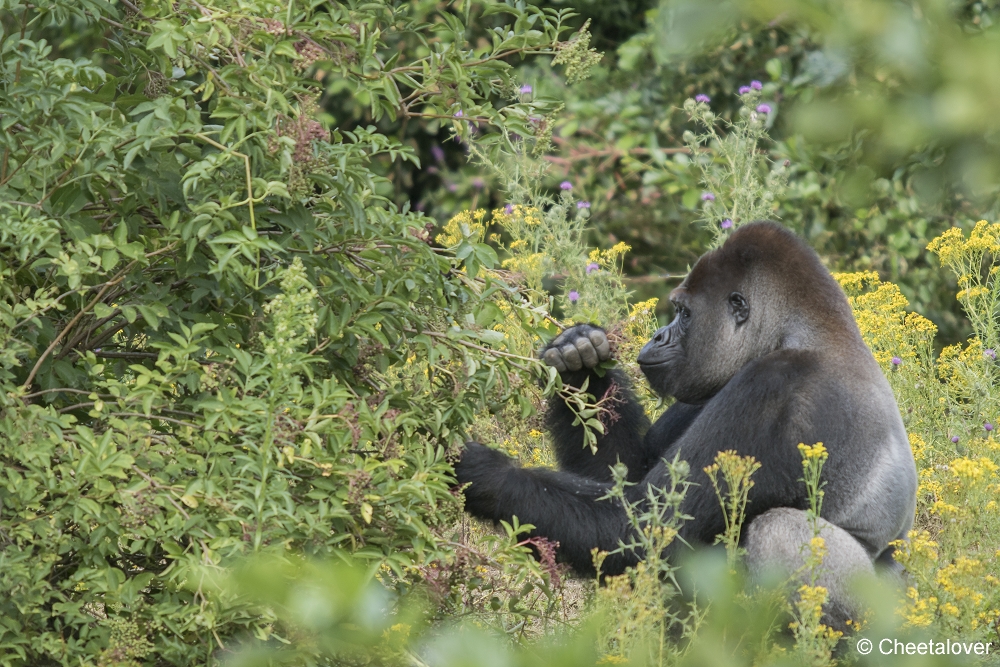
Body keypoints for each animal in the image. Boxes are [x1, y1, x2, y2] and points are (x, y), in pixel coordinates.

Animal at [458, 223, 916, 620]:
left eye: (684, 314)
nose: (658, 336)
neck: (810, 331)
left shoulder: (773, 386)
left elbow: (643, 523)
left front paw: (486, 473)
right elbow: (626, 479)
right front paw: (580, 358)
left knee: (780, 531)